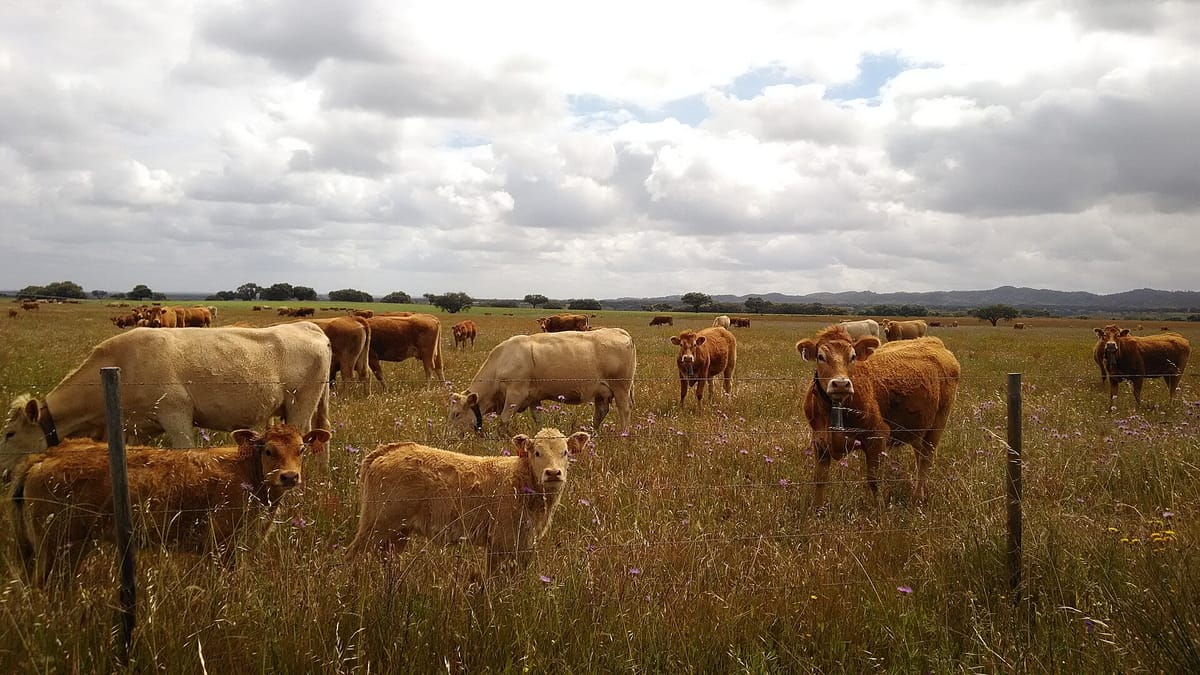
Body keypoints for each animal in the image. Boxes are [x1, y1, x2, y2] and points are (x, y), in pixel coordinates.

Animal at [0, 323, 332, 475]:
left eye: (9, 433)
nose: (2, 471)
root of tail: (309, 326)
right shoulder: (132, 428)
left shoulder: (176, 414)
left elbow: (185, 452)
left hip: (301, 405)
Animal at [8, 423, 330, 585]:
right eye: (268, 450)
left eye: (301, 449)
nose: (289, 477)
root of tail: (44, 456)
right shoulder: (224, 544)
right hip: (58, 547)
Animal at [346, 428, 589, 575]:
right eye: (536, 452)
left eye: (565, 452)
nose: (553, 473)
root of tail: (387, 450)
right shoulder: (502, 540)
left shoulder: (522, 543)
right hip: (376, 526)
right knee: (353, 555)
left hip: (397, 533)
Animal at [447, 327, 636, 434]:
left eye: (456, 414)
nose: (448, 437)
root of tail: (619, 331)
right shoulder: (533, 397)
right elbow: (538, 419)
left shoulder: (515, 394)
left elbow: (504, 420)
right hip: (602, 392)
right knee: (600, 412)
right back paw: (592, 434)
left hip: (621, 387)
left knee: (625, 410)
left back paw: (623, 435)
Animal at [796, 326, 961, 511]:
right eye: (820, 356)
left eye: (853, 356)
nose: (841, 384)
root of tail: (935, 342)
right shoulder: (820, 441)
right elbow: (819, 479)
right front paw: (817, 510)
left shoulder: (877, 437)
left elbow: (874, 480)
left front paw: (880, 510)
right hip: (918, 428)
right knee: (919, 457)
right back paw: (923, 493)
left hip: (937, 425)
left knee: (926, 459)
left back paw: (917, 497)